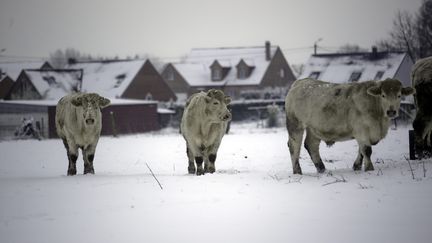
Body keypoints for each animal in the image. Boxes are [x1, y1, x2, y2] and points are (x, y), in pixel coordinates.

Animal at [286, 79, 414, 174]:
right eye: (383, 95)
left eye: (399, 95)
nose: (391, 111)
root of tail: (299, 82)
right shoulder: (362, 130)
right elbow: (366, 150)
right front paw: (370, 168)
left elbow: (361, 150)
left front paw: (357, 166)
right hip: (295, 124)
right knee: (294, 146)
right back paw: (297, 171)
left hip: (314, 128)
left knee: (311, 145)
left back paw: (321, 168)